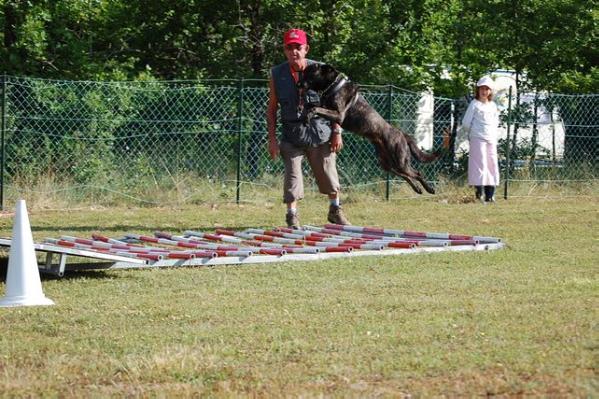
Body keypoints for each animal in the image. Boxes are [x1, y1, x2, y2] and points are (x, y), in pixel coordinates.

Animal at [302, 64, 438, 195]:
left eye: (309, 71)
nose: (299, 82)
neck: (334, 86)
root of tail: (401, 134)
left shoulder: (338, 115)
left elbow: (316, 108)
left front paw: (308, 115)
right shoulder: (327, 108)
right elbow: (314, 107)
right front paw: (305, 113)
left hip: (400, 160)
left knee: (416, 173)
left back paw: (429, 189)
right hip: (387, 163)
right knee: (404, 174)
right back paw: (417, 188)